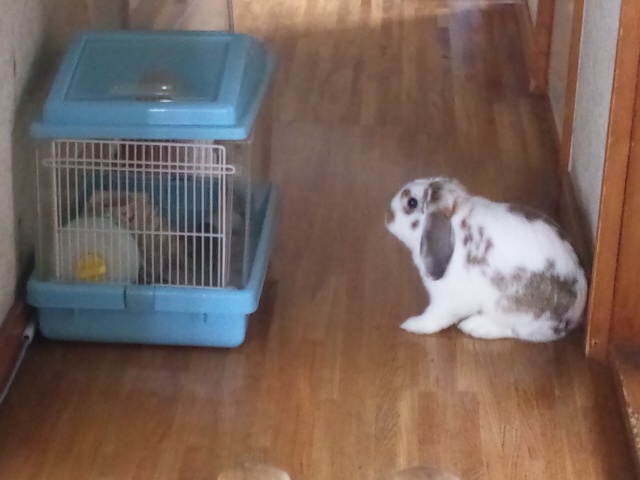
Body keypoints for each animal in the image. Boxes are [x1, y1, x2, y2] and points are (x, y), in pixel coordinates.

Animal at [385, 177, 588, 342]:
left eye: (411, 202)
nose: (388, 216)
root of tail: (575, 313)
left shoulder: (447, 300)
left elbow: (434, 318)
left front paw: (412, 325)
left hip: (512, 310)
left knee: (516, 330)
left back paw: (475, 326)